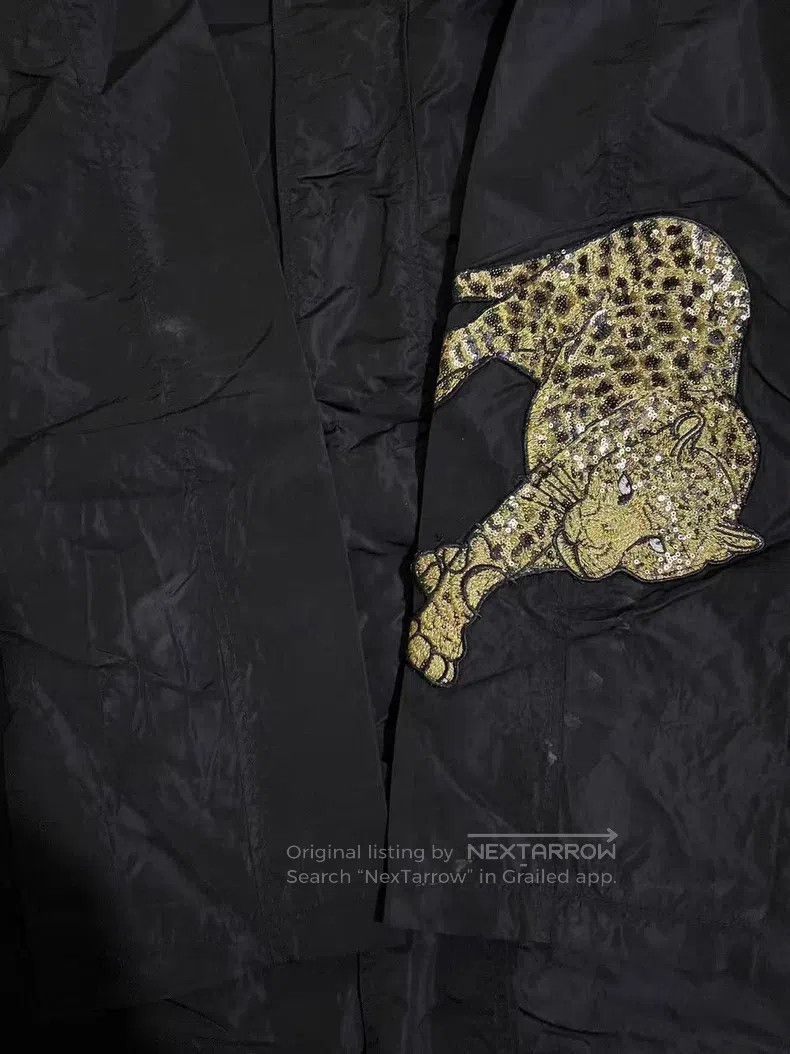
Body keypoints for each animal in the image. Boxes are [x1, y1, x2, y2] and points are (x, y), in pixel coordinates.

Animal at [408, 216, 762, 688]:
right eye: (626, 486)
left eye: (657, 546)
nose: (589, 538)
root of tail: (698, 230)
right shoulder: (552, 485)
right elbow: (495, 552)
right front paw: (435, 640)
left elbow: (517, 555)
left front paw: (436, 566)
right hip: (545, 311)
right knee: (472, 336)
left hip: (545, 348)